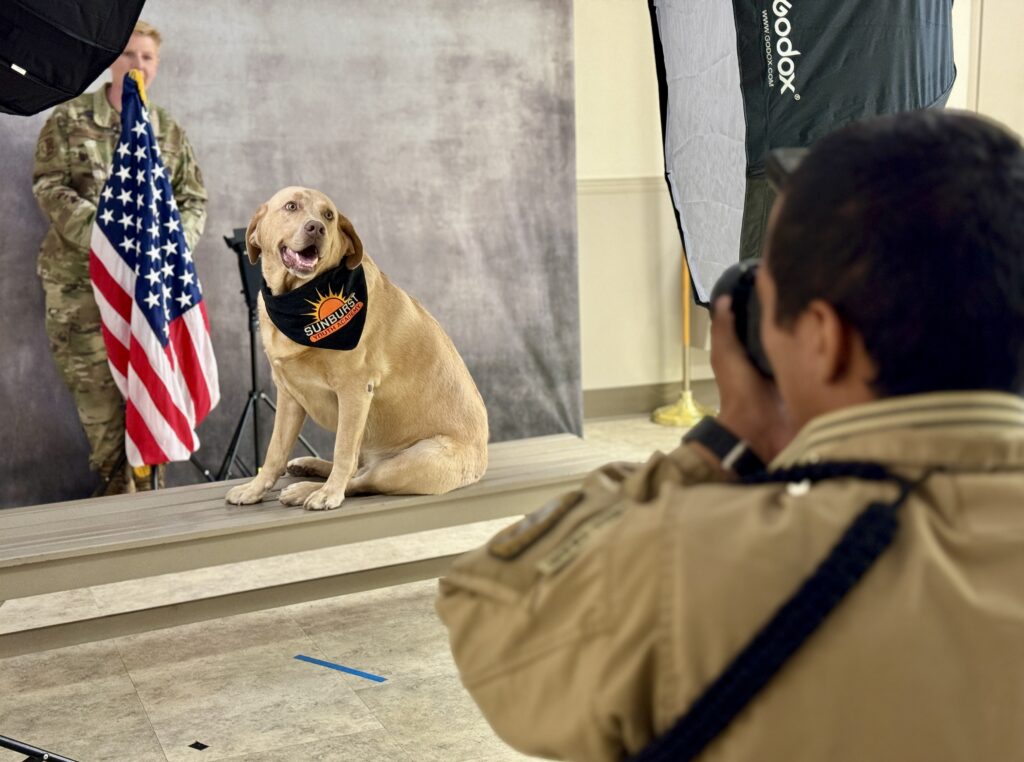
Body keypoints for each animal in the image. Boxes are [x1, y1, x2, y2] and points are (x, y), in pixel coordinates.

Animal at [226, 186, 489, 508]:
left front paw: (328, 493)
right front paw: (254, 489)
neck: (300, 298)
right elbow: (274, 451)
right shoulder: (288, 395)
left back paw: (307, 489)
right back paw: (308, 466)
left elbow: (343, 451)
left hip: (414, 460)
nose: (316, 228)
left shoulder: (354, 389)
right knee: (358, 467)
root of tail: (482, 460)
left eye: (329, 215)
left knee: (361, 477)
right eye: (291, 206)